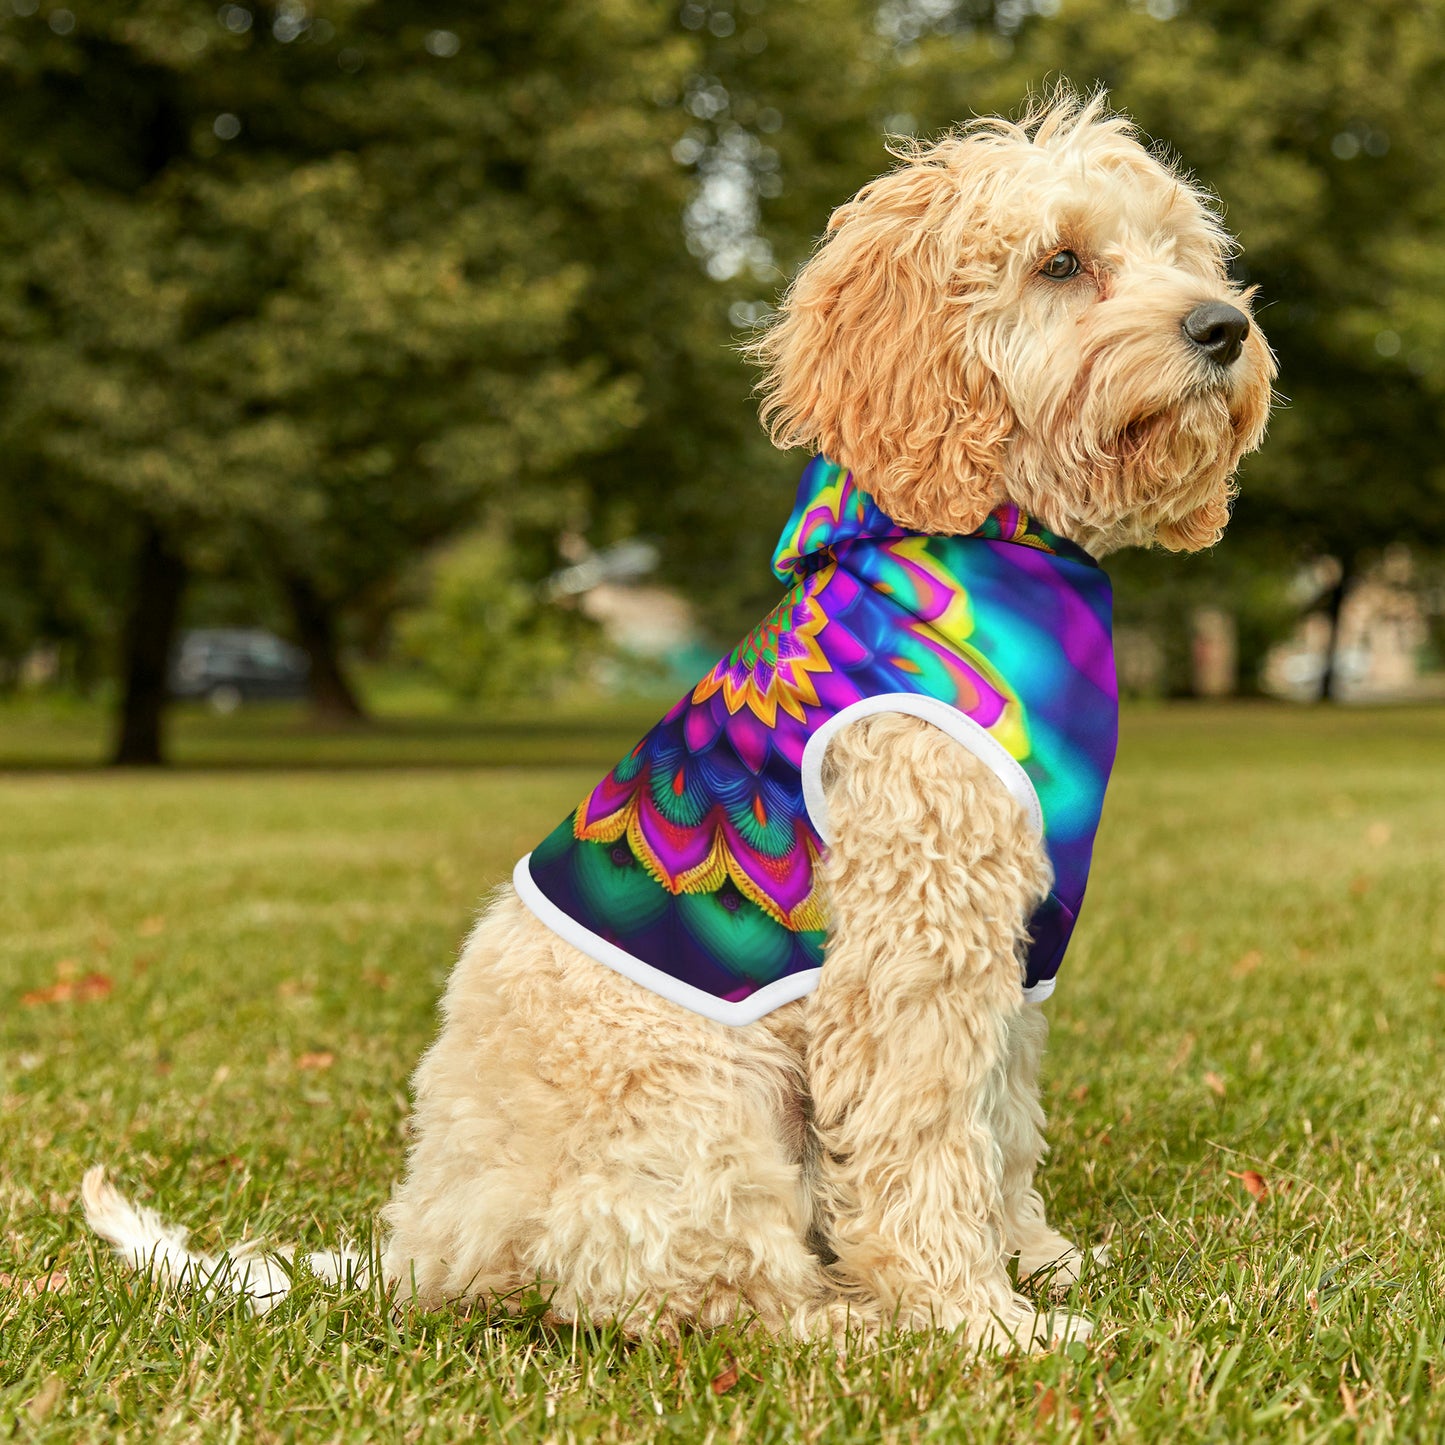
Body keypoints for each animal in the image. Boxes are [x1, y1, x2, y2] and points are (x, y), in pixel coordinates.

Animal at [84, 93, 1271, 1352]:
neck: (988, 543)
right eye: (1059, 262)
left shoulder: (1009, 949)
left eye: (1180, 252)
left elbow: (998, 1123)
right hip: (703, 1104)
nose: (1222, 327)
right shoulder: (912, 942)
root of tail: (423, 1246)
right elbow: (924, 1139)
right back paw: (851, 1322)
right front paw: (975, 1318)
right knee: (697, 1290)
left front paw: (1034, 1260)